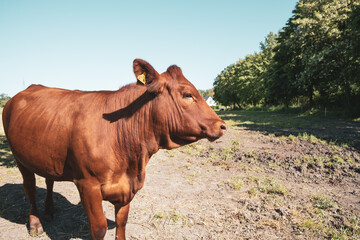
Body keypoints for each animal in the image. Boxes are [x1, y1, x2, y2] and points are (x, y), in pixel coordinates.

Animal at [2, 58, 225, 240]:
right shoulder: (87, 184)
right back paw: (35, 224)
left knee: (49, 180)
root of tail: (24, 91)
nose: (222, 125)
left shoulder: (128, 186)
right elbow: (99, 227)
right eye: (187, 94)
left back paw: (49, 210)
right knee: (29, 187)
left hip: (47, 154)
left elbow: (122, 222)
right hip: (19, 157)